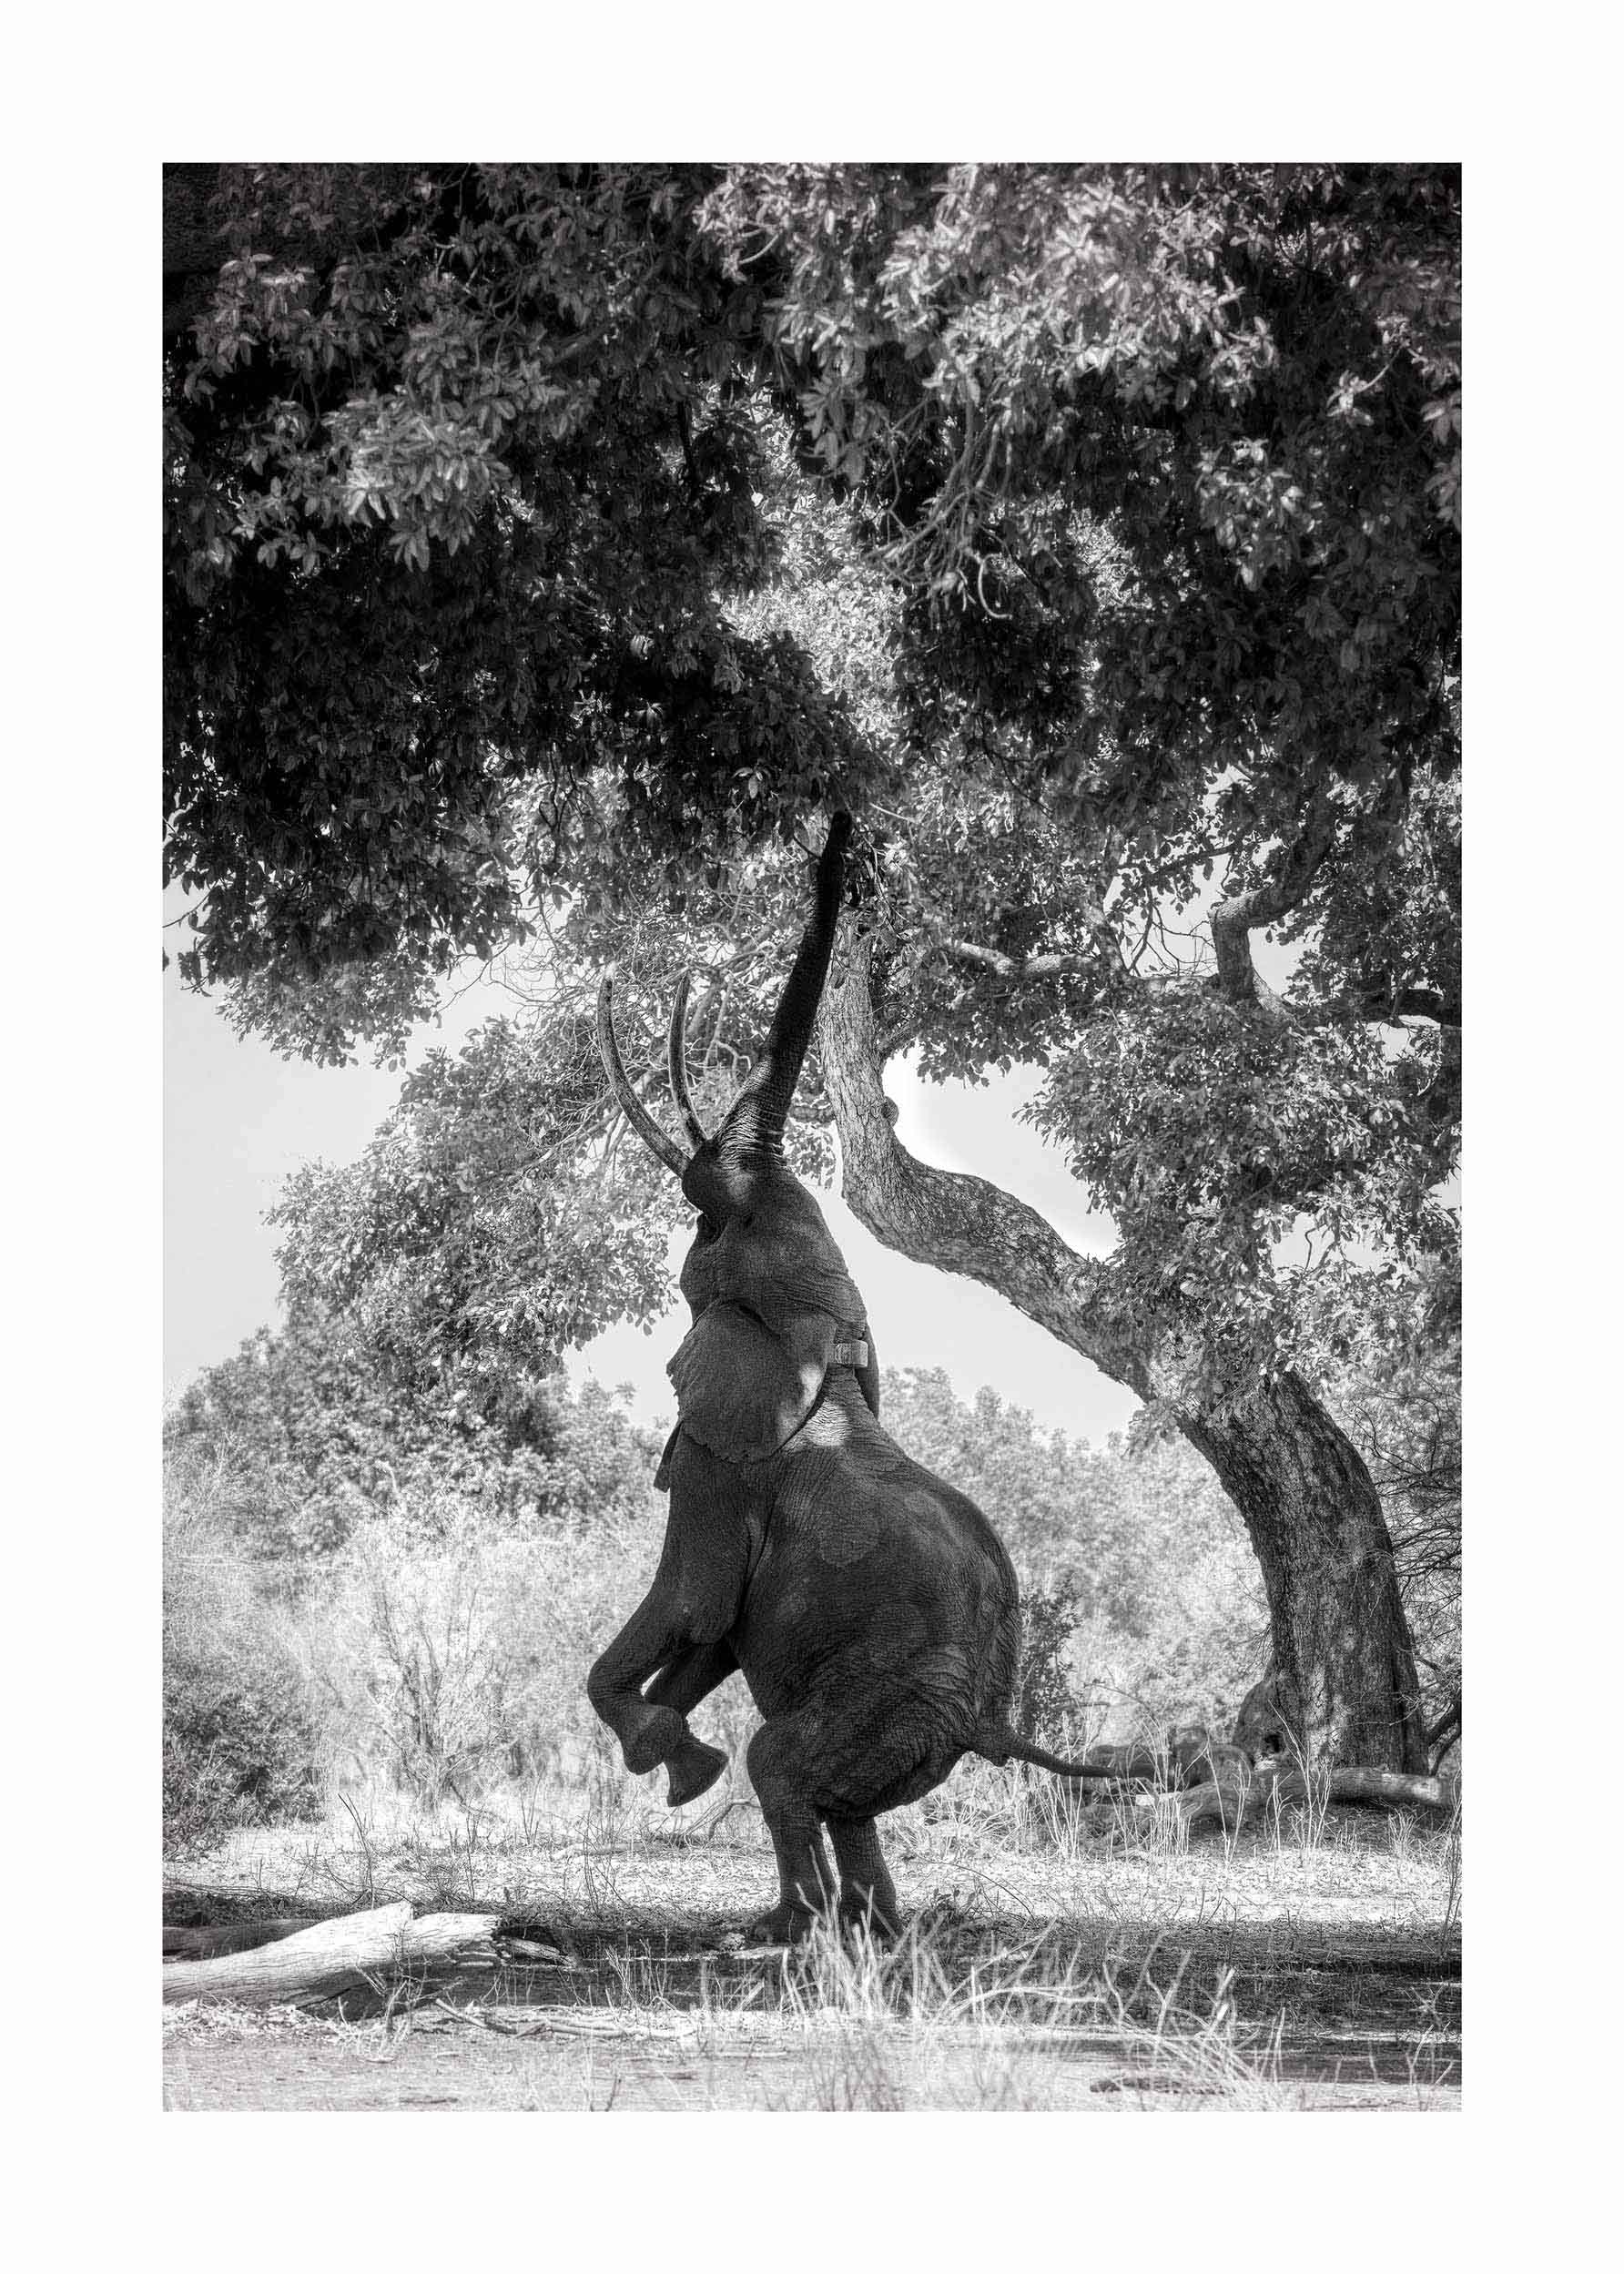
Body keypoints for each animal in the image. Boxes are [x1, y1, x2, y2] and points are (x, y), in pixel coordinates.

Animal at [589, 813, 1117, 1943]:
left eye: (705, 1218)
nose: (839, 828)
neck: (817, 1334)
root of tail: (984, 1724)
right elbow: (709, 1638)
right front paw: (673, 1749)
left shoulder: (721, 1463)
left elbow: (691, 1605)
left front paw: (679, 1762)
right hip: (896, 1712)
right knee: (841, 1800)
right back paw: (865, 1925)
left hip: (883, 1694)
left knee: (782, 1764)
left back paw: (791, 1930)